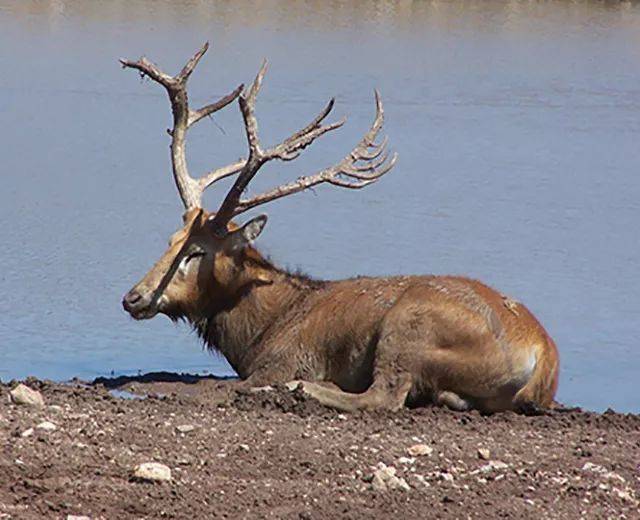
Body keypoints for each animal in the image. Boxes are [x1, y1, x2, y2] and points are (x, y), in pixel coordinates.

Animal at [121, 42, 560, 412]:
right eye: (171, 239)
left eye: (196, 252)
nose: (133, 297)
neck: (258, 330)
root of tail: (541, 359)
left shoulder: (283, 360)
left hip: (409, 326)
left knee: (384, 396)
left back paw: (307, 389)